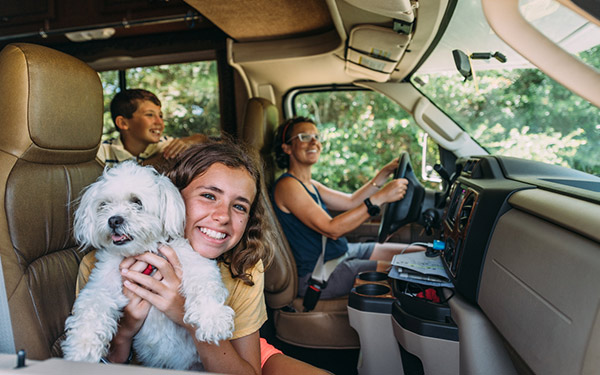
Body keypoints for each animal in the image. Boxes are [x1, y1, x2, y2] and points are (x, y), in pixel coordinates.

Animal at [62, 162, 234, 370]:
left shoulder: (194, 261)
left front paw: (213, 319)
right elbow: (92, 307)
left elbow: (204, 284)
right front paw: (82, 348)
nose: (114, 220)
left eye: (137, 202)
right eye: (104, 204)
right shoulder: (101, 285)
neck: (142, 252)